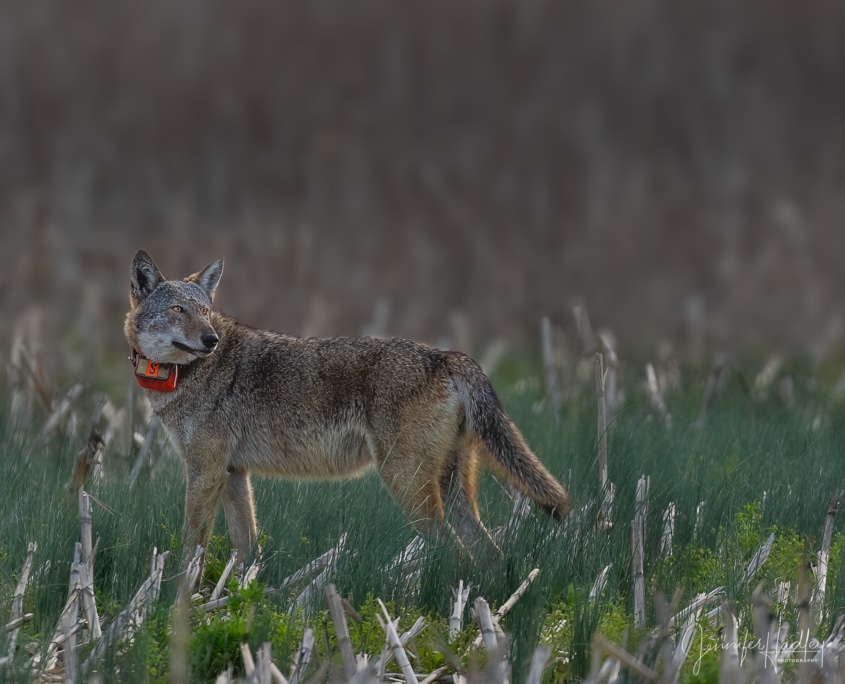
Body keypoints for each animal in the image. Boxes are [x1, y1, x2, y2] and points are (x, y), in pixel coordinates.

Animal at [124, 250, 570, 564]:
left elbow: (191, 548)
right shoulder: (233, 474)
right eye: (178, 310)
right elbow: (247, 549)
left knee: (454, 553)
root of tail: (448, 356)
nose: (211, 340)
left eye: (204, 311)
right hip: (451, 490)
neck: (180, 378)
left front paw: (183, 600)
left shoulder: (205, 472)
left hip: (408, 486)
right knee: (490, 555)